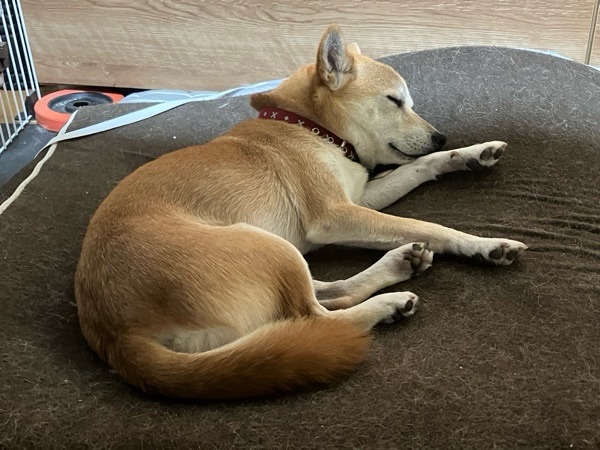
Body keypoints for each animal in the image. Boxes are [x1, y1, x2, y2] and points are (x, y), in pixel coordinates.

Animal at [75, 24, 527, 399]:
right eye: (394, 101)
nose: (441, 136)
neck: (311, 128)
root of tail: (116, 338)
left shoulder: (360, 200)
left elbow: (418, 168)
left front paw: (469, 154)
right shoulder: (335, 214)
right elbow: (428, 225)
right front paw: (483, 244)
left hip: (280, 255)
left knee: (331, 295)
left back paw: (400, 264)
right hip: (266, 246)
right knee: (321, 318)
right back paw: (387, 304)